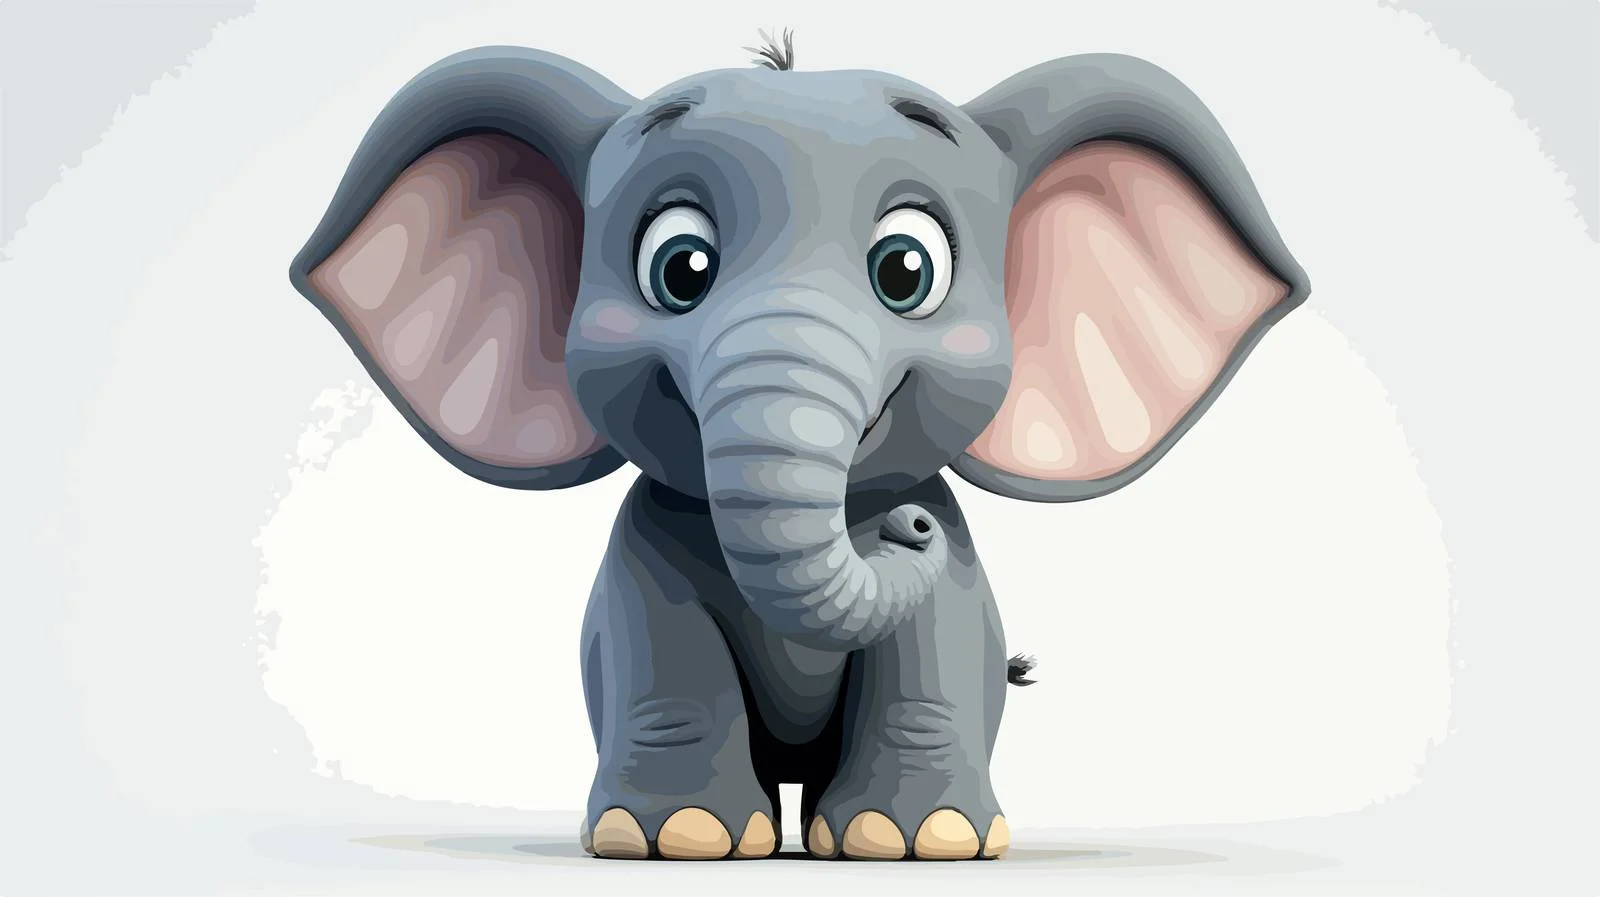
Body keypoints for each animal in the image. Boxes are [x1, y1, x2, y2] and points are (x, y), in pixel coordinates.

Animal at [287, 35, 1310, 862]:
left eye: (908, 270)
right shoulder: (644, 552)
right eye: (679, 269)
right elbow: (659, 645)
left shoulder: (953, 569)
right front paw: (672, 835)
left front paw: (919, 838)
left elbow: (935, 648)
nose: (904, 526)